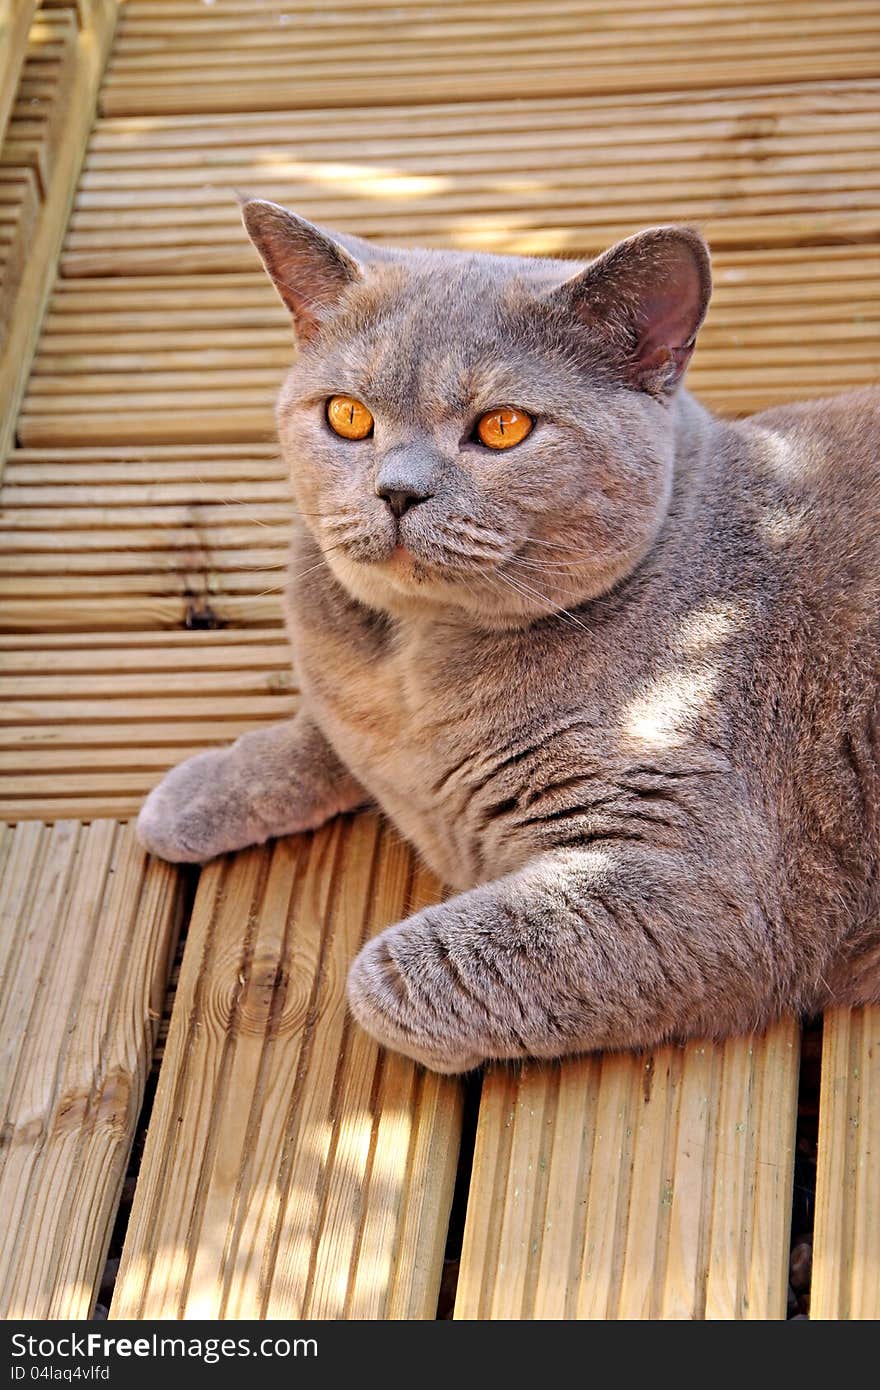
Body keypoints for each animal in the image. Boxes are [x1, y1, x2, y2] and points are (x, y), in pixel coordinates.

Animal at [137, 201, 878, 1073]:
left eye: (501, 427)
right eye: (348, 416)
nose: (398, 490)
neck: (417, 667)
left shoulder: (705, 883)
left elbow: (387, 976)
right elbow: (318, 735)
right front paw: (193, 795)